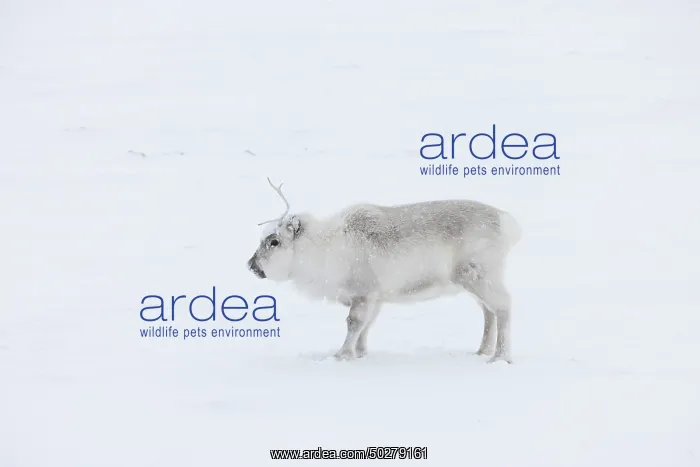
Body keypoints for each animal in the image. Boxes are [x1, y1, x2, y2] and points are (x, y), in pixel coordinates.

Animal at [247, 178, 521, 363]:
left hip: (478, 273)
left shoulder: (363, 291)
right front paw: (361, 354)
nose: (251, 265)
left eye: (274, 241)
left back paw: (500, 357)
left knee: (503, 305)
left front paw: (341, 355)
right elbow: (366, 326)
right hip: (473, 281)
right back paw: (482, 351)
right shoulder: (375, 297)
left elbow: (354, 323)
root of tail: (509, 223)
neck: (323, 250)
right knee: (488, 312)